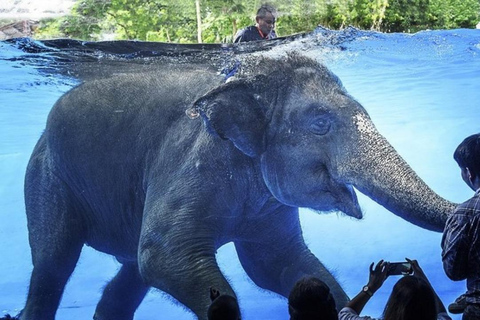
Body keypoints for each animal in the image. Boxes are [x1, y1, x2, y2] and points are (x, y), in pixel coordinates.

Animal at [17, 53, 454, 318]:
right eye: (320, 123)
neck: (244, 84)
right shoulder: (192, 161)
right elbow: (165, 254)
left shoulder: (269, 204)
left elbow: (273, 264)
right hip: (45, 176)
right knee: (54, 262)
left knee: (131, 271)